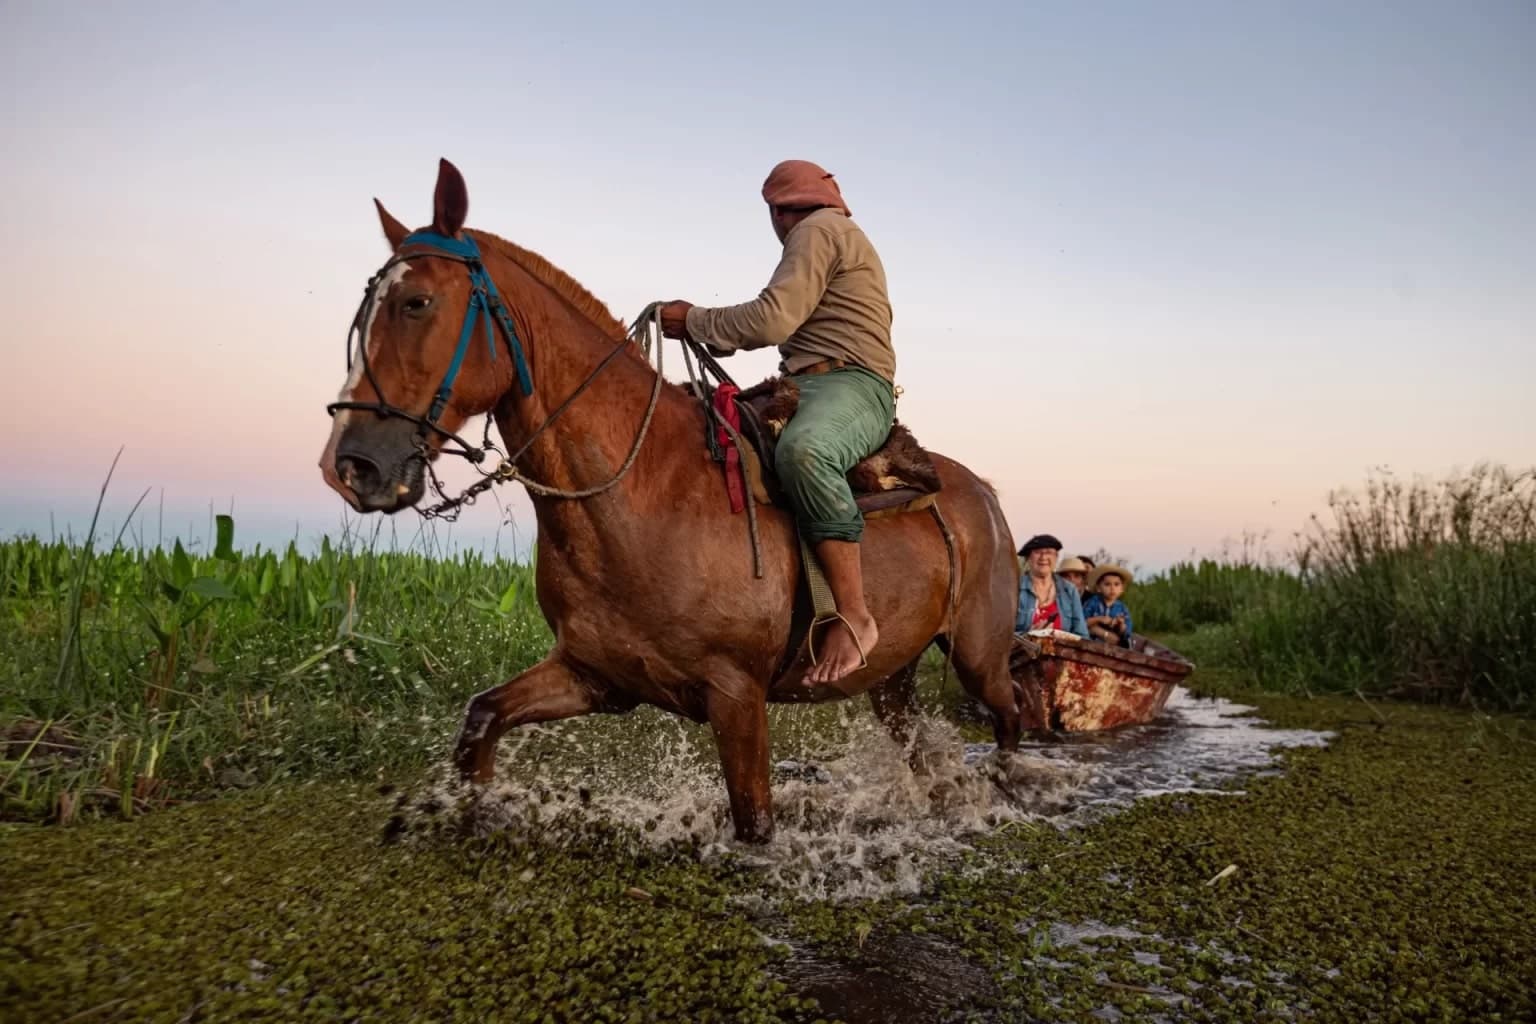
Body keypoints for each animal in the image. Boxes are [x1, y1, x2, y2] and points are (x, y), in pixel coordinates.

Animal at [318, 159, 1022, 842]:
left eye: (417, 302)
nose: (350, 465)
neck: (639, 493)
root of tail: (983, 493)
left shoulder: (736, 695)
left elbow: (754, 823)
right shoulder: (591, 674)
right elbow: (481, 719)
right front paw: (477, 811)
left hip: (977, 656)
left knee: (1011, 713)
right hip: (892, 677)